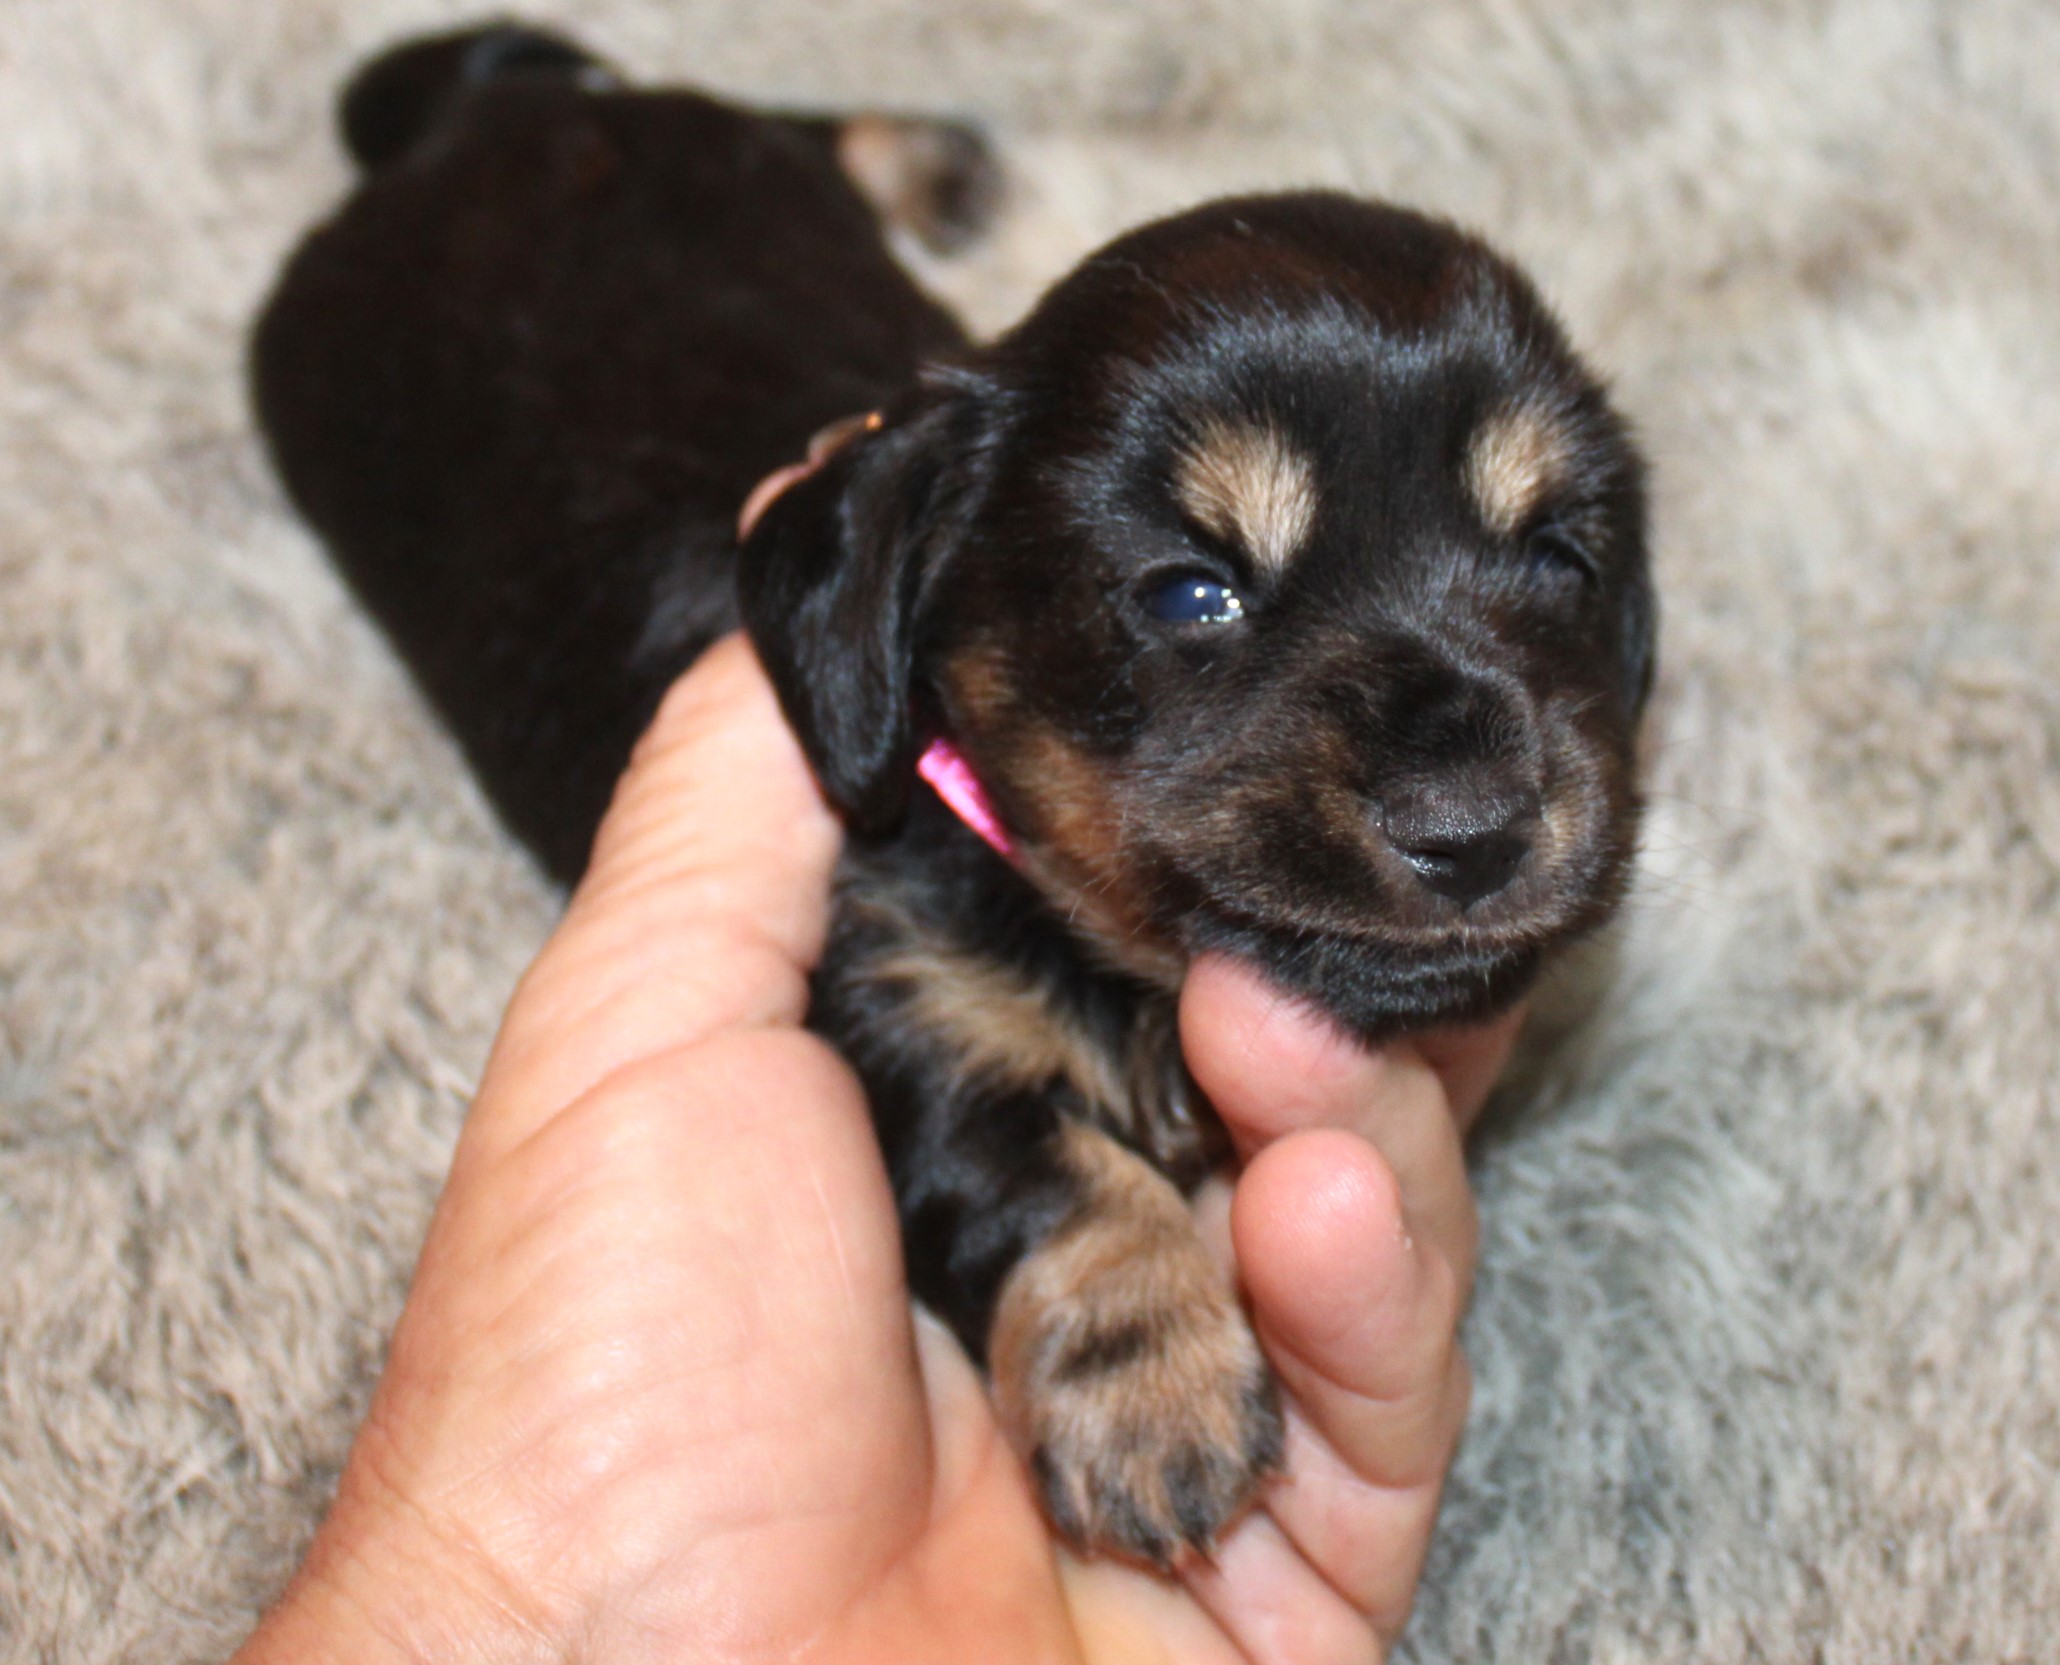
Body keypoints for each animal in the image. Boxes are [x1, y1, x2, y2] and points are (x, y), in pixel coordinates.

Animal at [253, 22, 1655, 1567]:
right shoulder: (888, 997)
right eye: (1189, 593)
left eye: (1562, 561)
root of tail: (477, 118)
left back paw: (936, 160)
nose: (1477, 829)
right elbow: (1038, 1167)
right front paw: (1155, 1403)